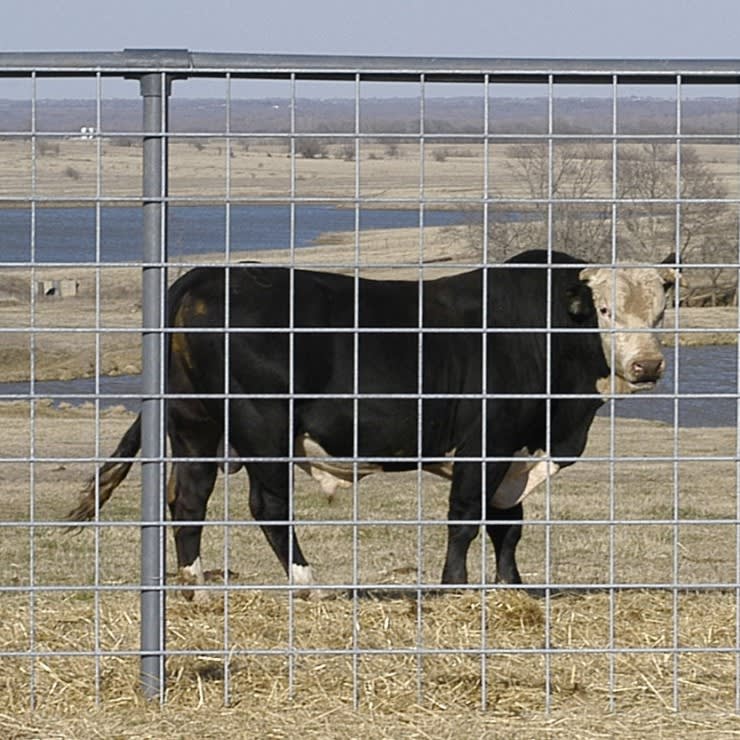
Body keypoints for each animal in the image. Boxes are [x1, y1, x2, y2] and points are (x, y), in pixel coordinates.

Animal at [67, 249, 677, 596]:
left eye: (659, 311)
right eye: (604, 311)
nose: (647, 365)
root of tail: (204, 279)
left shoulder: (515, 453)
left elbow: (509, 526)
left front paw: (513, 589)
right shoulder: (485, 443)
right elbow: (466, 519)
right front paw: (453, 589)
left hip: (195, 423)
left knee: (188, 499)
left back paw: (194, 590)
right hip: (261, 425)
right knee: (268, 505)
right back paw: (307, 585)